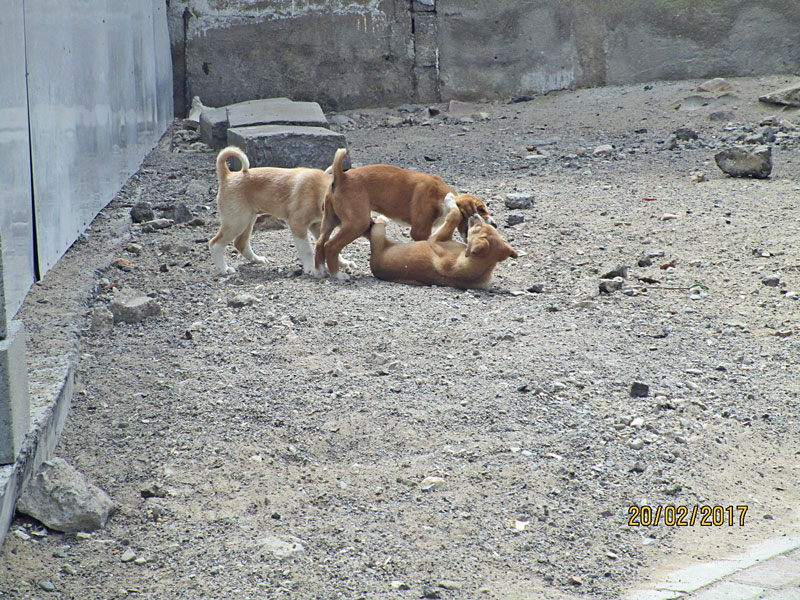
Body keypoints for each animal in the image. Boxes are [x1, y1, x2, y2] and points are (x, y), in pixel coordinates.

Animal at [208, 146, 348, 278]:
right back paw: (224, 269)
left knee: (240, 243)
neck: (318, 190)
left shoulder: (317, 225)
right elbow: (306, 249)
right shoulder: (297, 224)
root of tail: (227, 176)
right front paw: (310, 268)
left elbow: (325, 243)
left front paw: (342, 262)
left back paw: (257, 260)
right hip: (237, 221)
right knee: (215, 243)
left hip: (248, 219)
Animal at [314, 150, 494, 282]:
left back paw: (320, 271)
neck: (439, 194)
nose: (495, 224)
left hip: (330, 221)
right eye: (481, 209)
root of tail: (342, 176)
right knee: (331, 245)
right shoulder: (420, 232)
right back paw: (337, 275)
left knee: (320, 243)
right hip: (357, 223)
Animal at [368, 206, 520, 290]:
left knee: (376, 228)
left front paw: (454, 210)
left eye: (477, 227)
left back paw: (381, 219)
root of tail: (374, 261)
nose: (475, 215)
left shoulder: (435, 239)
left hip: (378, 232)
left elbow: (453, 218)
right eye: (482, 225)